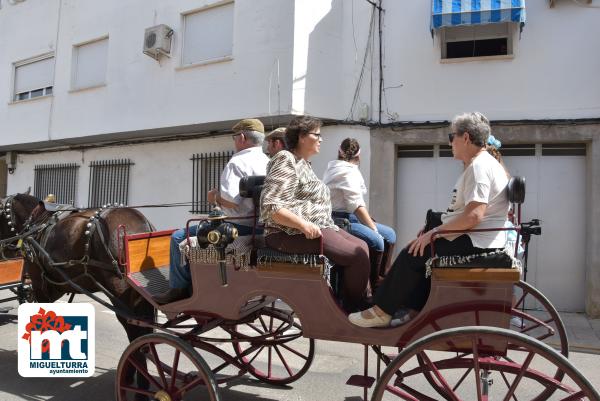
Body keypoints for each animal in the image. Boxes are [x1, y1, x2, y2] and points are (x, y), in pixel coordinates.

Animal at [1, 194, 155, 396]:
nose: (5, 250)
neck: (36, 224)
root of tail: (144, 224)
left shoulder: (40, 283)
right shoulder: (54, 286)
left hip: (120, 296)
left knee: (136, 332)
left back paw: (141, 387)